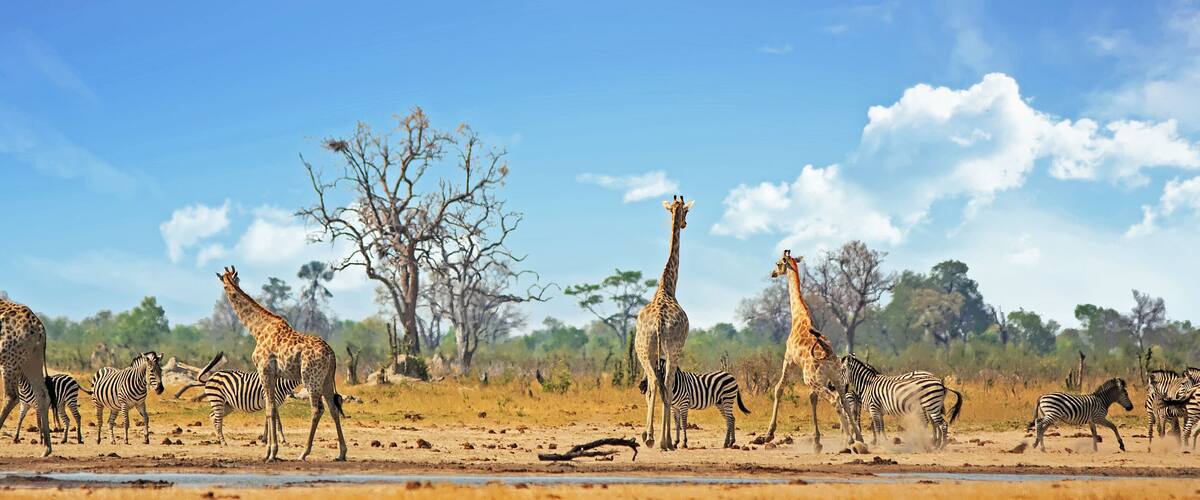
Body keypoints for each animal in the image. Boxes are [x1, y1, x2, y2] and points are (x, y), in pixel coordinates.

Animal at [0, 299, 53, 457]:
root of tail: (40, 329)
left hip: (10, 359)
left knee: (11, 396)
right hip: (31, 359)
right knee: (43, 395)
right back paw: (46, 449)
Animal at [217, 266, 347, 462]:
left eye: (225, 285)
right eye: (235, 280)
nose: (228, 291)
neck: (257, 329)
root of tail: (331, 354)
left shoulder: (264, 370)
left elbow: (269, 409)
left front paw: (270, 452)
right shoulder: (274, 374)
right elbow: (273, 409)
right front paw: (271, 450)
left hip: (311, 378)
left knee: (317, 409)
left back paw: (304, 453)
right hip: (326, 380)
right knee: (333, 408)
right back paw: (341, 453)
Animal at [761, 250, 864, 453]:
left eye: (778, 264)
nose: (773, 274)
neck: (798, 316)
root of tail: (827, 354)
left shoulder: (789, 359)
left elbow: (779, 388)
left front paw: (769, 433)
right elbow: (812, 398)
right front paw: (817, 441)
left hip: (813, 378)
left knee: (834, 400)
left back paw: (849, 439)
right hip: (835, 378)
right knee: (844, 400)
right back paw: (858, 436)